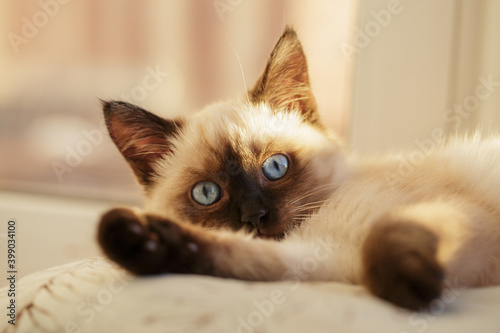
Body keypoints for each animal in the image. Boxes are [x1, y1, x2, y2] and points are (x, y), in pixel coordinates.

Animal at [96, 26, 500, 308]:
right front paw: (136, 238)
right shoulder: (327, 259)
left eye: (275, 167)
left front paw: (415, 292)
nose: (254, 217)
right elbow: (234, 257)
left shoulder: (452, 216)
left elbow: (383, 239)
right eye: (207, 193)